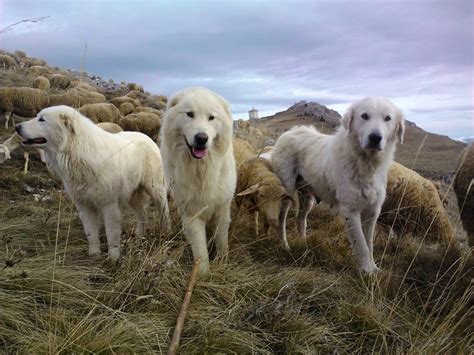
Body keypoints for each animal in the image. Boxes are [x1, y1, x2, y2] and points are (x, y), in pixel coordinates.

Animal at [15, 105, 170, 262]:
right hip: (133, 196)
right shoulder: (84, 206)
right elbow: (91, 233)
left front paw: (113, 257)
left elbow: (111, 234)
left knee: (164, 211)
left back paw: (166, 232)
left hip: (156, 190)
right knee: (142, 215)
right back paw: (140, 236)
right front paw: (94, 254)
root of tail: (146, 137)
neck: (77, 151)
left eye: (42, 119)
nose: (16, 127)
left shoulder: (109, 205)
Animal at [161, 87, 237, 274]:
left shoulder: (222, 208)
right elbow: (199, 247)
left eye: (211, 117)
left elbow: (221, 240)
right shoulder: (191, 213)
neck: (201, 169)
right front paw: (203, 273)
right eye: (189, 114)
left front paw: (222, 262)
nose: (202, 138)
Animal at [272, 96, 406, 272]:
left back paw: (303, 243)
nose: (375, 137)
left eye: (387, 118)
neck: (365, 164)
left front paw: (374, 268)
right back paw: (284, 245)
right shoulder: (350, 211)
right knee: (281, 222)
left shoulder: (372, 212)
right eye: (364, 116)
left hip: (308, 199)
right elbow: (361, 245)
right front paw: (367, 271)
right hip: (287, 192)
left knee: (301, 219)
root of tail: (290, 132)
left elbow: (369, 244)